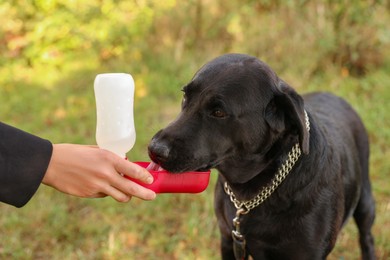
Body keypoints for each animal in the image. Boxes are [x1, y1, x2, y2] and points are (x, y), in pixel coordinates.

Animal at [147, 53, 374, 258]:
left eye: (219, 112)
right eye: (185, 95)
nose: (154, 149)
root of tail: (334, 95)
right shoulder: (229, 240)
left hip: (365, 202)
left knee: (367, 238)